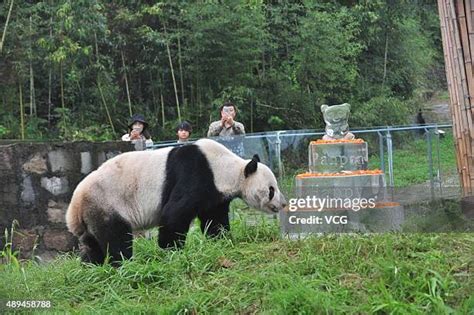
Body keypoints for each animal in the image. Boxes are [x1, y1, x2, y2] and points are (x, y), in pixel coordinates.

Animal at [65, 139, 286, 266]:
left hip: (92, 213)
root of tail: (74, 206)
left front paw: (221, 239)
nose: (282, 204)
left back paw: (91, 267)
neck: (228, 167)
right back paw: (124, 265)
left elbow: (214, 219)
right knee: (116, 238)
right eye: (271, 189)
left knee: (92, 243)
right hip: (106, 203)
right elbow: (174, 212)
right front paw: (170, 249)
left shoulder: (215, 194)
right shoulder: (196, 173)